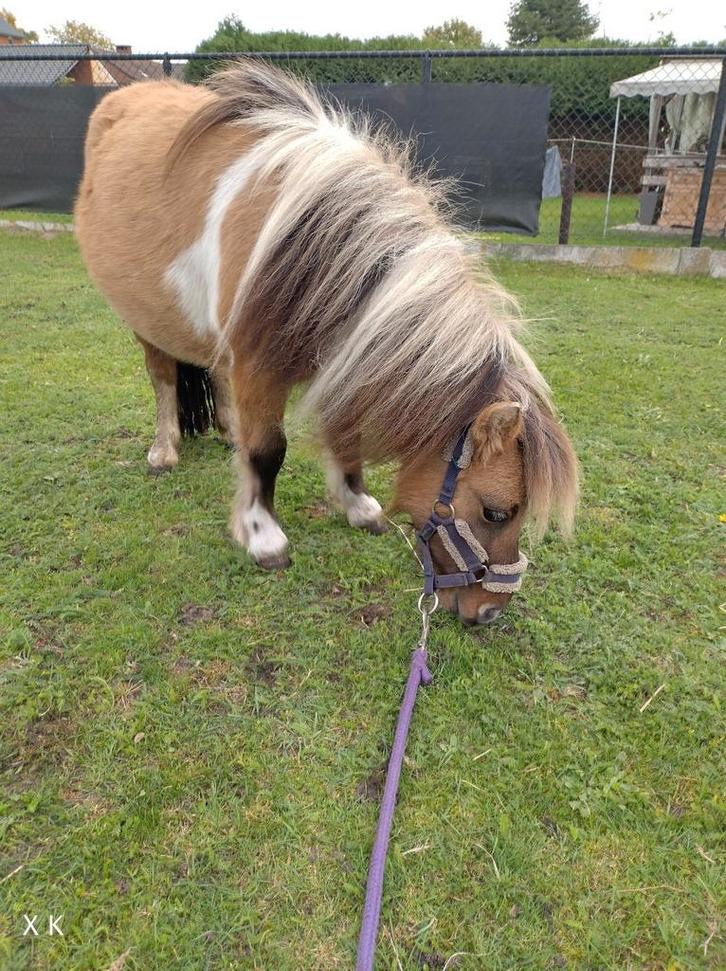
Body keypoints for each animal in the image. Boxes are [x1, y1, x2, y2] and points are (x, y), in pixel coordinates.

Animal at [74, 60, 578, 625]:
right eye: (496, 511)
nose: (490, 612)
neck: (306, 243)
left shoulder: (340, 354)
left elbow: (346, 433)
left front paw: (357, 504)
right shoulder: (260, 366)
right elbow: (267, 451)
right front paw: (263, 536)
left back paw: (227, 432)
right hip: (145, 321)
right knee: (163, 378)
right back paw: (165, 450)